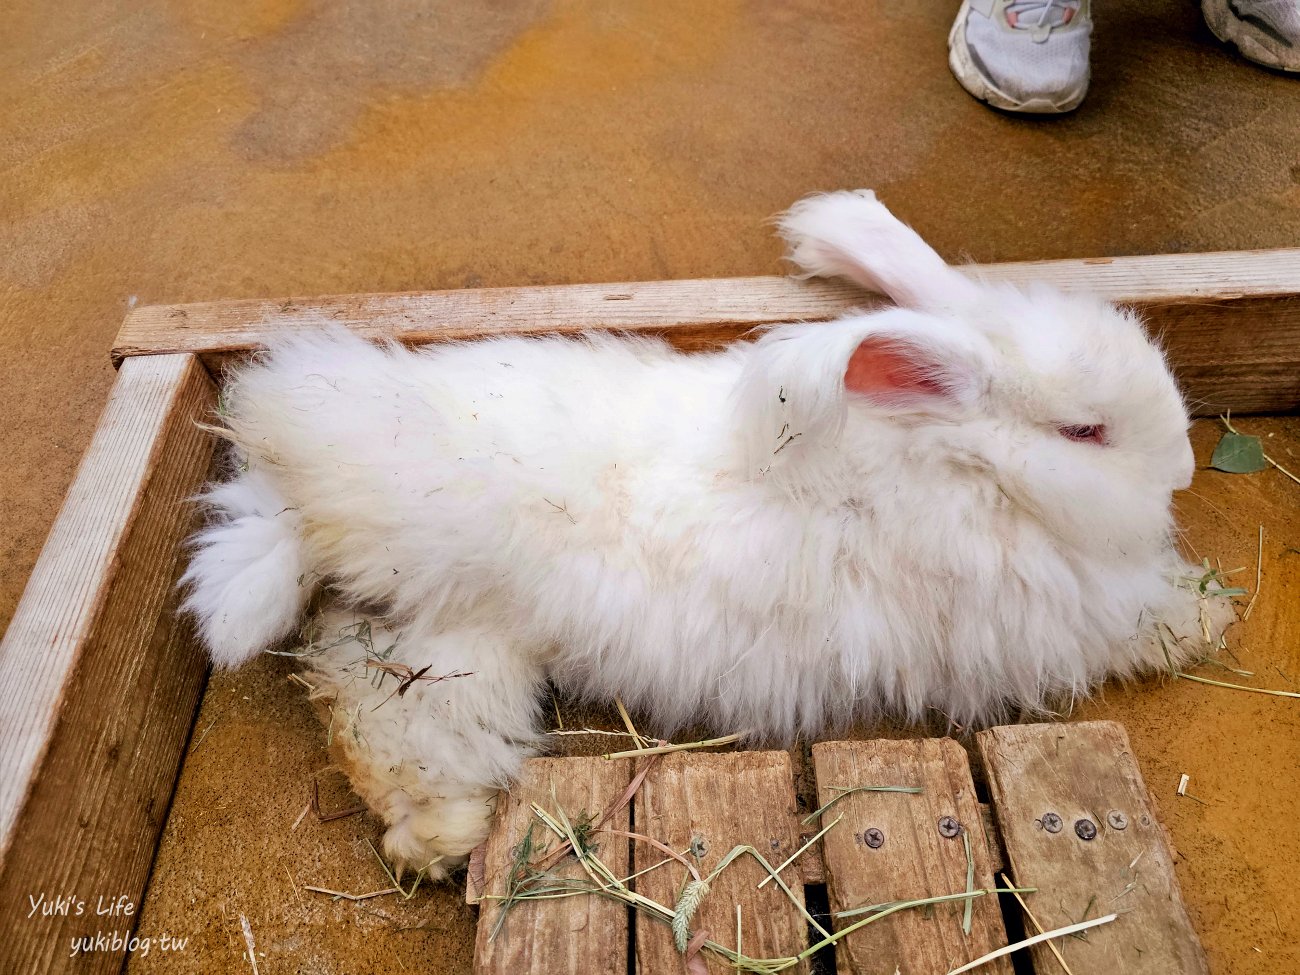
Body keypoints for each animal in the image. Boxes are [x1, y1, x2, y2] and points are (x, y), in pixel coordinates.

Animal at [180, 191, 1227, 878]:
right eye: (1085, 432)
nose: (1182, 467)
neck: (960, 464)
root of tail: (294, 474)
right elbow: (1139, 615)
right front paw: (1208, 616)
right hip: (465, 635)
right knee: (386, 713)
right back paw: (441, 835)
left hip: (448, 640)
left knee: (350, 674)